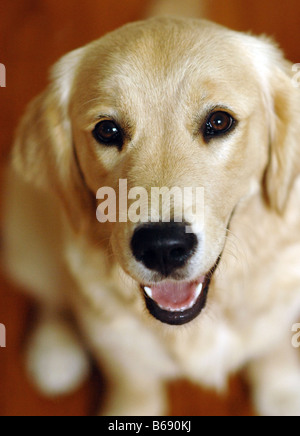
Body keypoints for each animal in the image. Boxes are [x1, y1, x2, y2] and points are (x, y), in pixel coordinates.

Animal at [3, 9, 300, 416]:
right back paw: (54, 349)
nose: (162, 247)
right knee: (52, 295)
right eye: (107, 130)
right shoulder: (115, 343)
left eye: (219, 121)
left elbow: (273, 348)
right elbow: (134, 385)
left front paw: (282, 393)